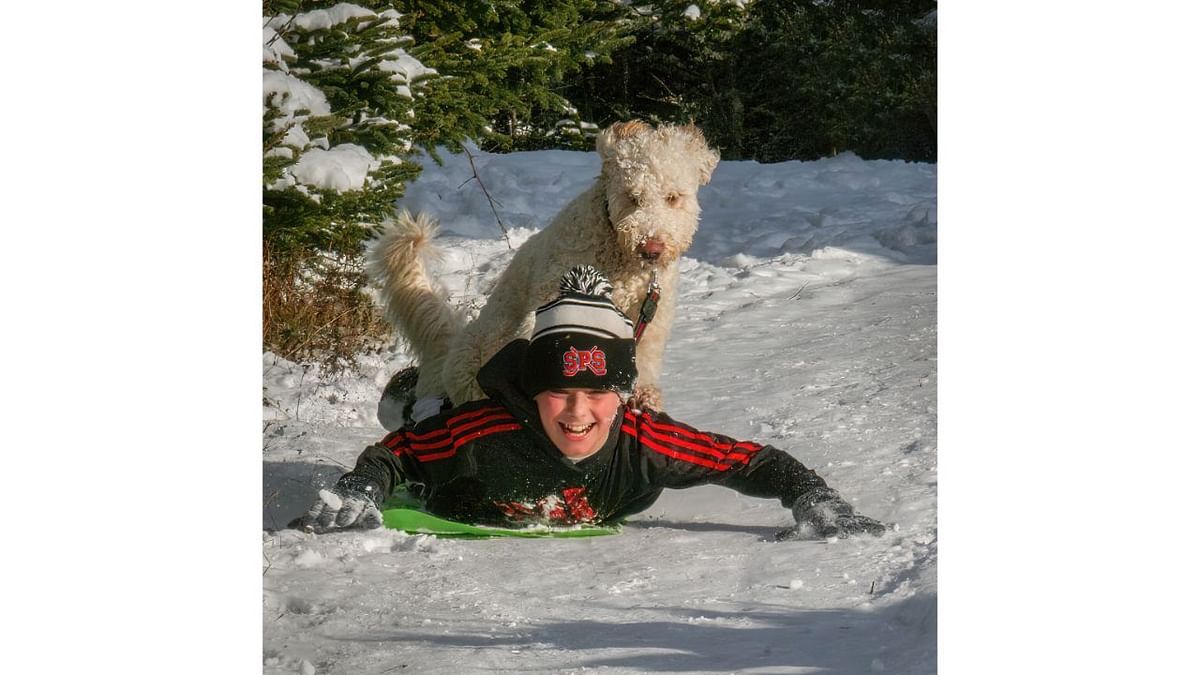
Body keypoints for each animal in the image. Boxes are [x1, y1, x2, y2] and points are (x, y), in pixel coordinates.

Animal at [369, 118, 715, 417]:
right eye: (632, 197)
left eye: (673, 197)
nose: (652, 248)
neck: (619, 255)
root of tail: (449, 352)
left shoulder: (650, 320)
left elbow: (642, 356)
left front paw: (643, 395)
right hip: (478, 354)